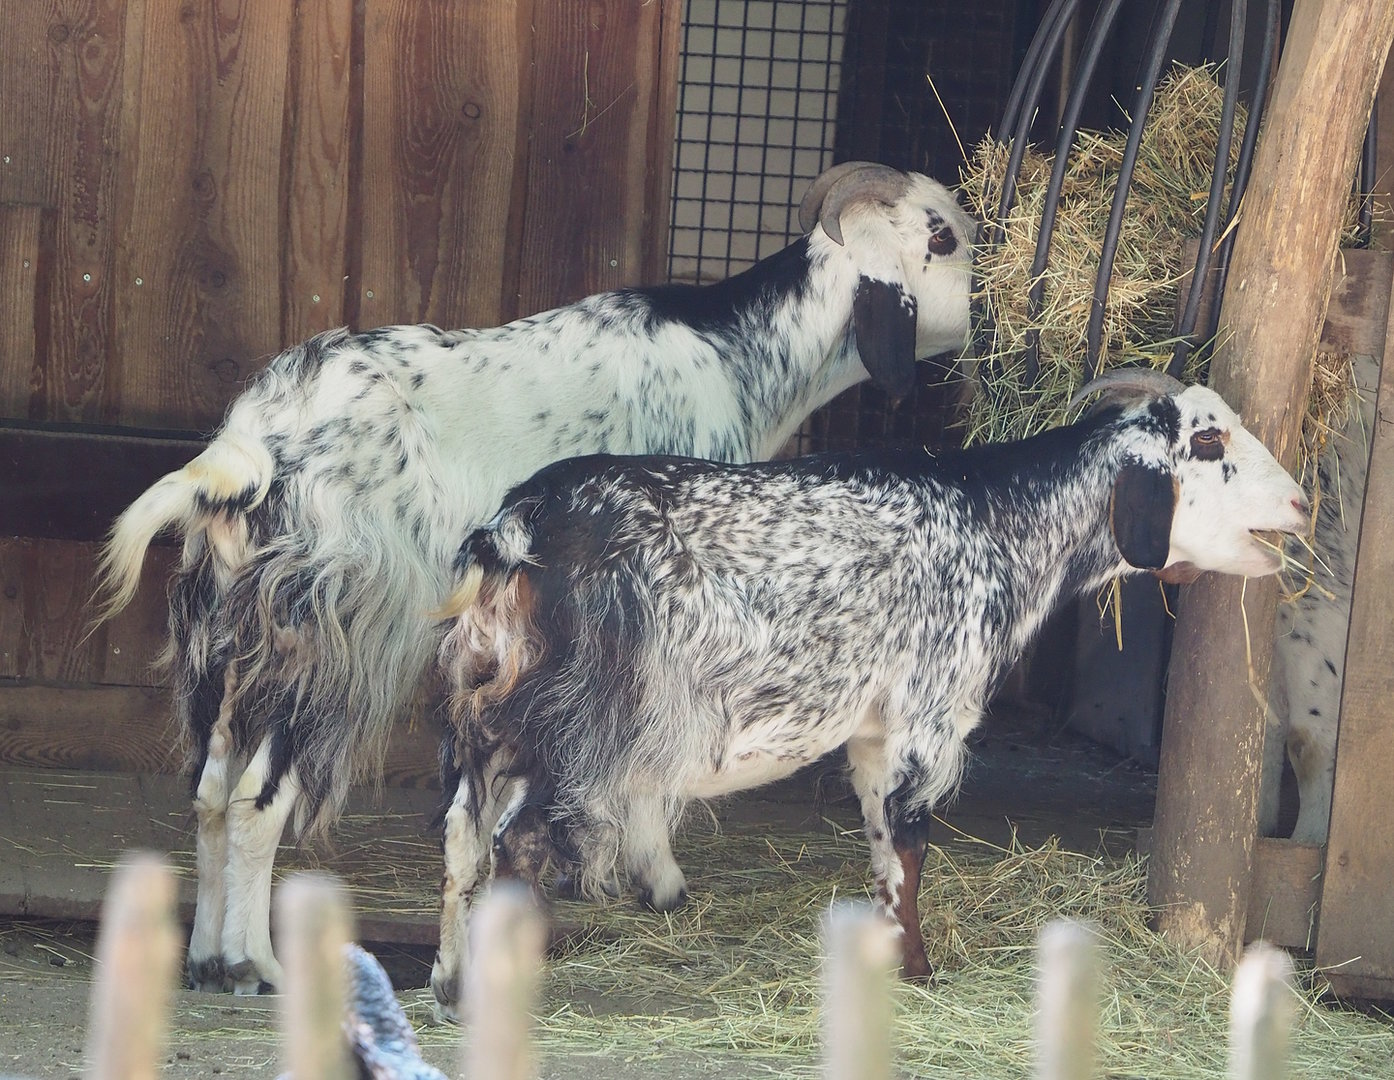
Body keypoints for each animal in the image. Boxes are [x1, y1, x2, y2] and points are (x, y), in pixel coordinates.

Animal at [93, 162, 976, 995]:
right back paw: (257, 966)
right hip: (332, 628)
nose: (983, 312)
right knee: (255, 796)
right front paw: (657, 878)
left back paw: (209, 960)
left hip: (233, 636)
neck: (739, 356)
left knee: (211, 790)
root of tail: (251, 447)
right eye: (941, 237)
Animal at [430, 369, 1308, 1013]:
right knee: (517, 838)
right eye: (1208, 439)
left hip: (489, 715)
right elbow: (910, 841)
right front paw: (919, 970)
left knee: (463, 832)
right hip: (583, 724)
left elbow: (884, 842)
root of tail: (516, 528)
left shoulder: (875, 729)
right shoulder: (929, 709)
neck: (995, 520)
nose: (1301, 503)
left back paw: (447, 983)